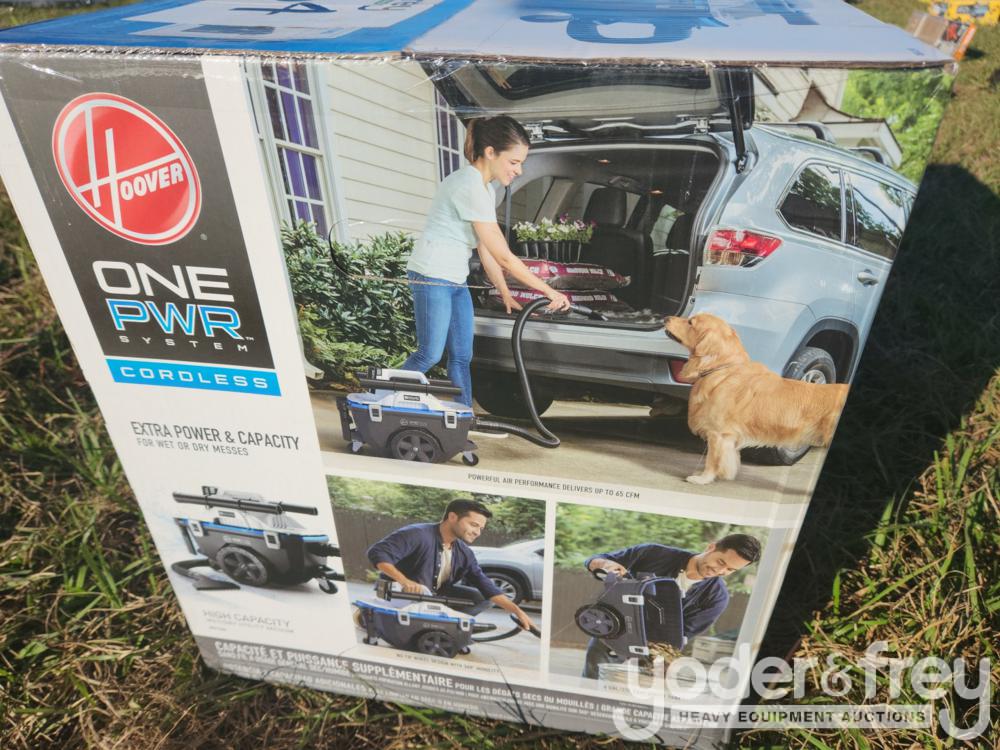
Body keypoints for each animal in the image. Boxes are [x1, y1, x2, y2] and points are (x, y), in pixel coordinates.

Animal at [664, 314, 849, 484]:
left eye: (690, 322)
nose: (666, 318)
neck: (722, 368)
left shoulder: (718, 434)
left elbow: (712, 460)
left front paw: (702, 479)